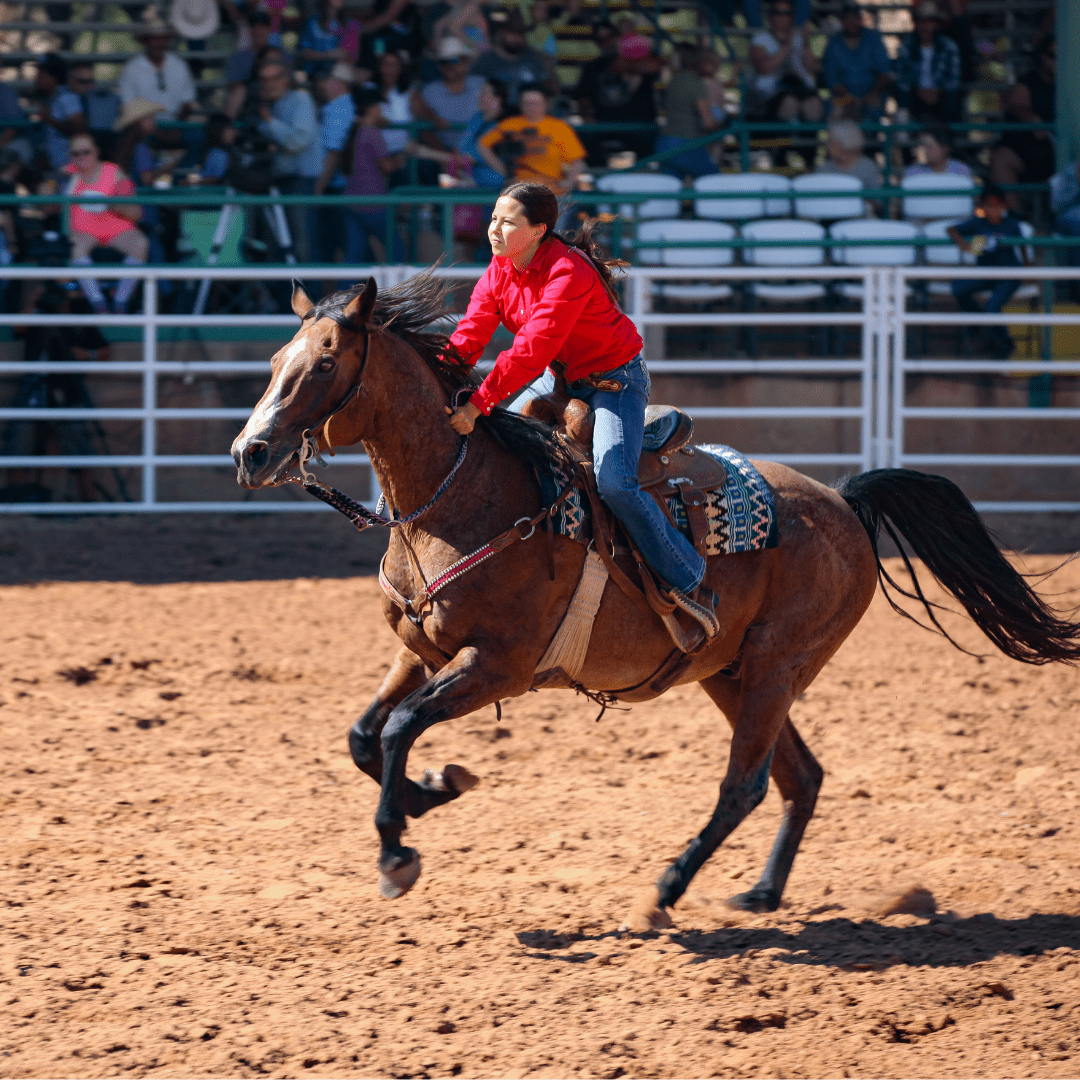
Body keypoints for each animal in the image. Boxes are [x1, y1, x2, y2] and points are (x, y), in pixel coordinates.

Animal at [230, 274, 1080, 933]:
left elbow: (401, 728)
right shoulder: (420, 650)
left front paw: (399, 851)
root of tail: (844, 499)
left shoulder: (497, 666)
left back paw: (665, 891)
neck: (463, 496)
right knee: (799, 777)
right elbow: (365, 737)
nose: (250, 452)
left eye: (323, 364)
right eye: (274, 361)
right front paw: (432, 792)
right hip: (732, 673)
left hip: (775, 666)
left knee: (744, 784)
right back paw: (760, 893)